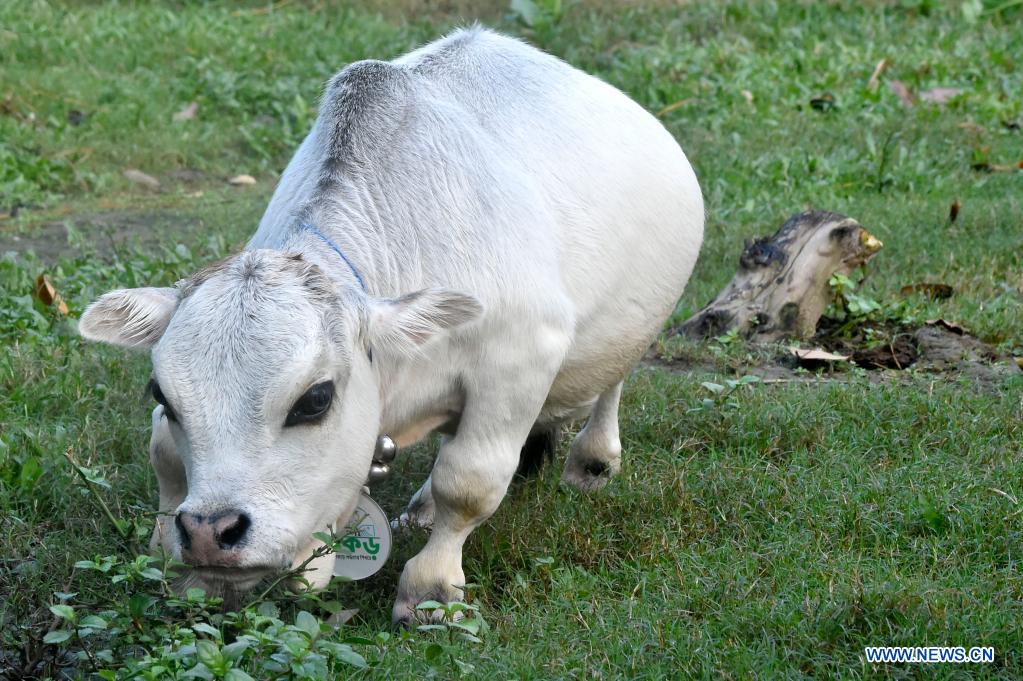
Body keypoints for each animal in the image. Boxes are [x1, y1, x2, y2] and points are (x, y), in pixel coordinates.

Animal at [78, 26, 703, 625]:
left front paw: (431, 591)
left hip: (629, 331)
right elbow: (163, 452)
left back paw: (592, 460)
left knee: (611, 384)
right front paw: (168, 555)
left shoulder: (519, 361)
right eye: (162, 394)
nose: (211, 532)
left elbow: (469, 482)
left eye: (315, 399)